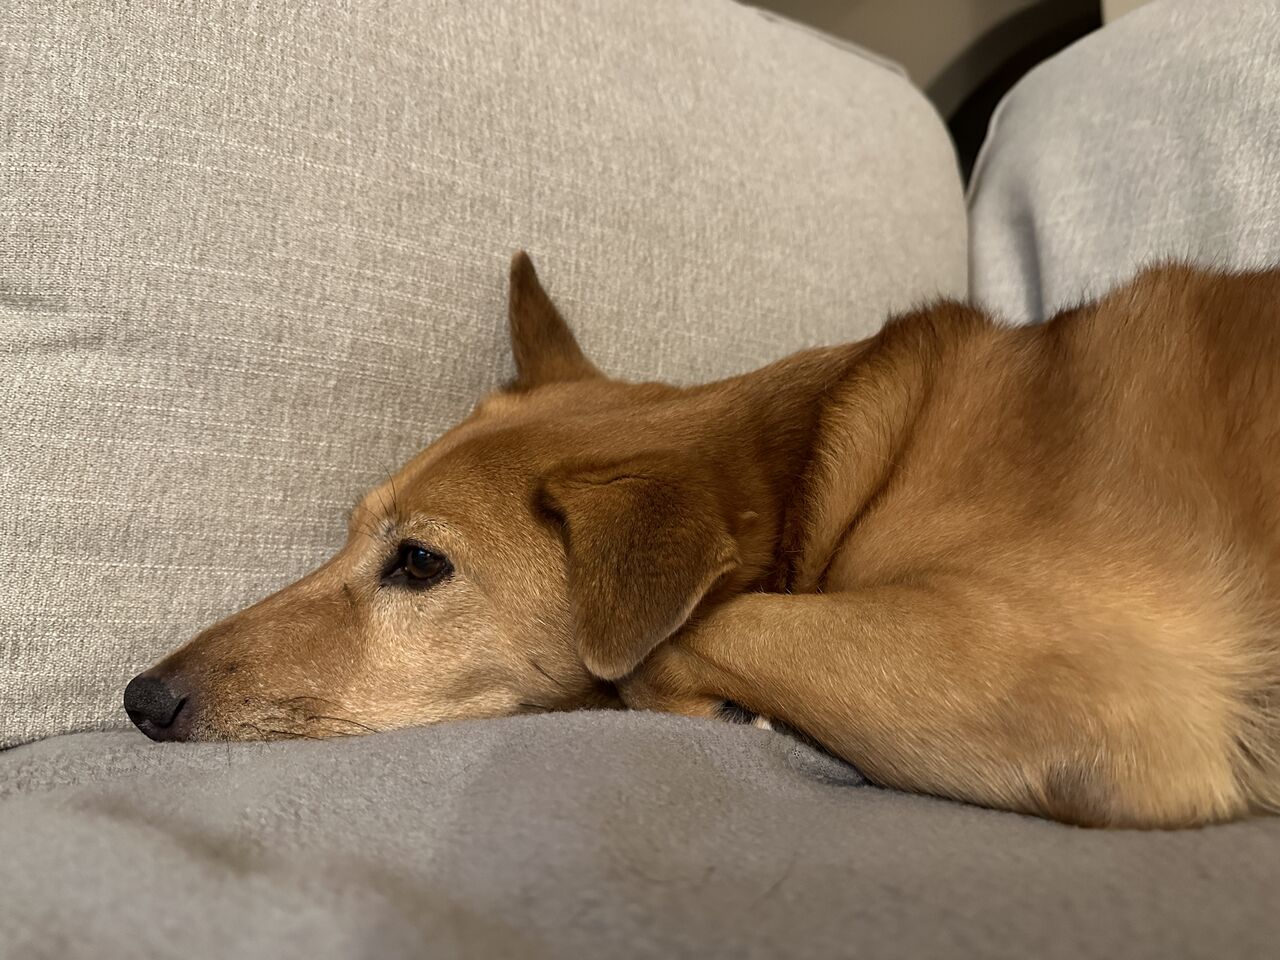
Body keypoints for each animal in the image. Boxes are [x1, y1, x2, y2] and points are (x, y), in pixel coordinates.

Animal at [124, 252, 1280, 828]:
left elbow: (698, 632)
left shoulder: (1074, 680)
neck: (825, 462)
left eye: (418, 563)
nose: (141, 699)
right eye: (350, 536)